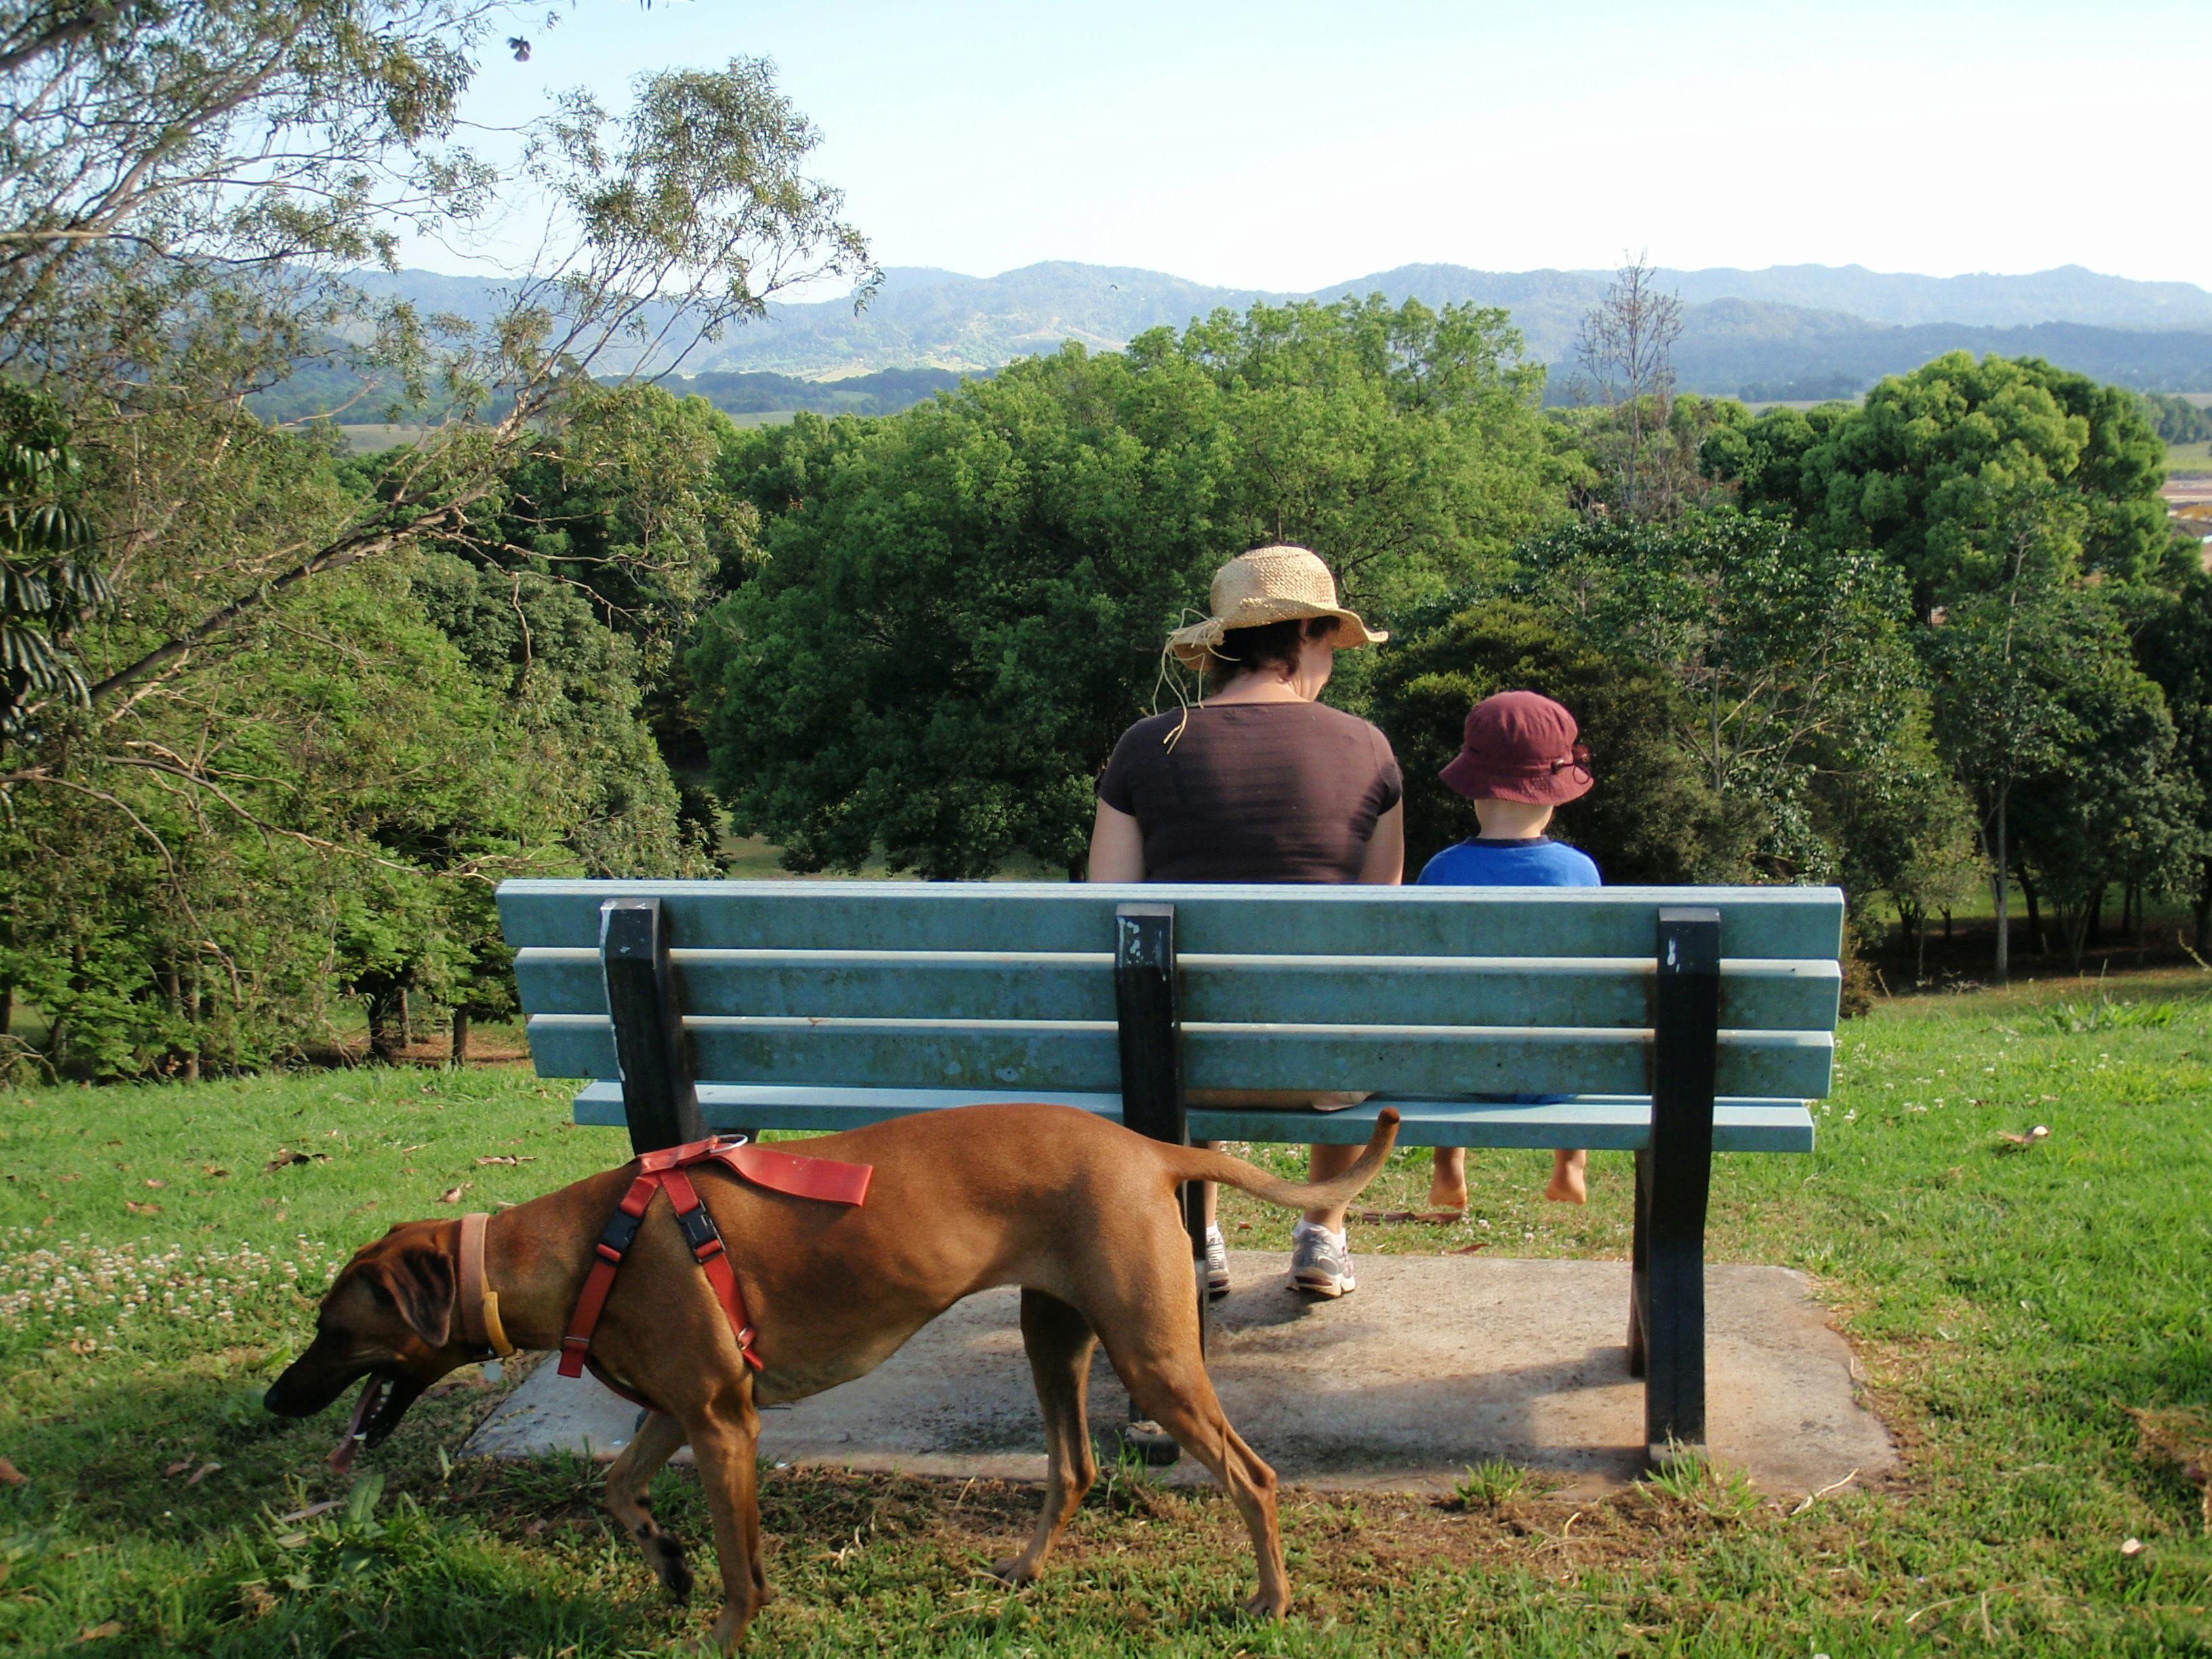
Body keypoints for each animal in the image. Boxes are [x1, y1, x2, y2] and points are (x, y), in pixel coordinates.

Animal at [266, 1102, 1400, 1647]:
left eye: (332, 1330)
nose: (277, 1399)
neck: (588, 1247)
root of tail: (1148, 1148)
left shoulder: (723, 1427)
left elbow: (742, 1572)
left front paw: (720, 1630)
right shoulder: (683, 1410)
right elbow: (617, 1488)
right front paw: (664, 1560)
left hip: (1154, 1359)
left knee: (1253, 1476)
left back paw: (1269, 1601)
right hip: (1055, 1339)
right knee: (1074, 1469)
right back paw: (1025, 1572)